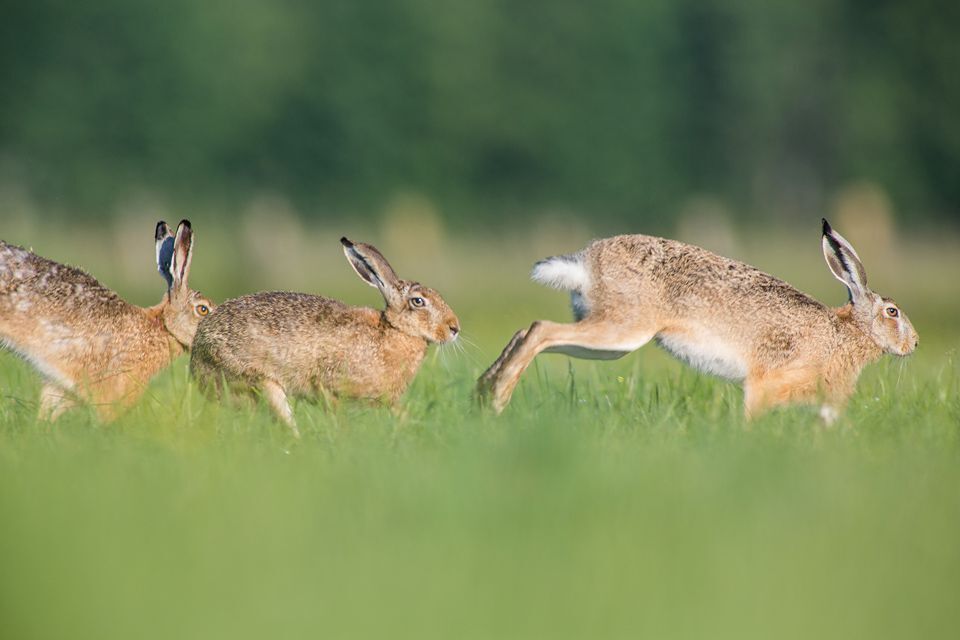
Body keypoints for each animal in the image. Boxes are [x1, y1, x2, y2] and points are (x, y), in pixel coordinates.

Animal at [189, 237, 460, 435]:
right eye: (418, 301)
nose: (454, 328)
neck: (393, 331)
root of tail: (197, 353)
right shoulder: (329, 384)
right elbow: (338, 415)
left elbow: (400, 414)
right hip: (262, 383)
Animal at [477, 219, 918, 423]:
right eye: (892, 312)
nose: (914, 344)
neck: (845, 333)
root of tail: (586, 264)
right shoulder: (765, 383)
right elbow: (751, 415)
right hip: (622, 330)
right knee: (540, 329)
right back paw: (496, 401)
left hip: (606, 343)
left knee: (528, 331)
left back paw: (482, 393)